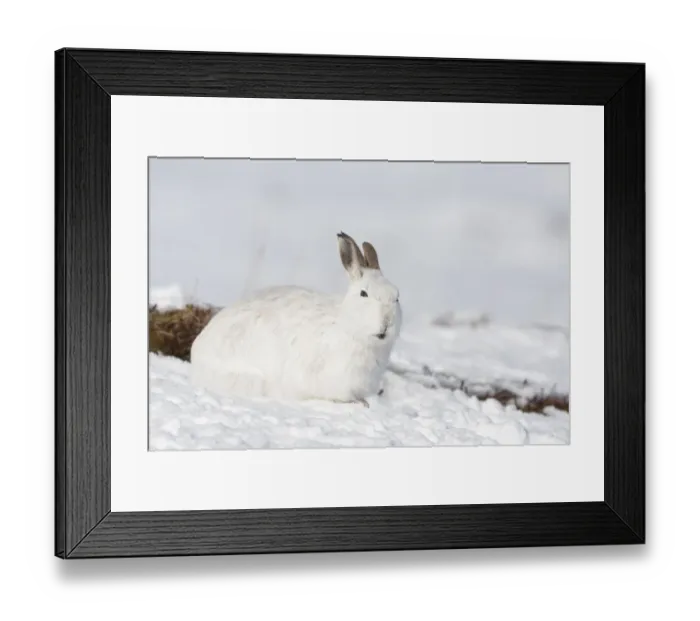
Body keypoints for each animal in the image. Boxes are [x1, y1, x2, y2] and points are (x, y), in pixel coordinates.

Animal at [189, 232, 402, 407]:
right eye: (364, 294)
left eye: (397, 297)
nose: (387, 323)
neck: (348, 328)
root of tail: (196, 353)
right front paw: (360, 403)